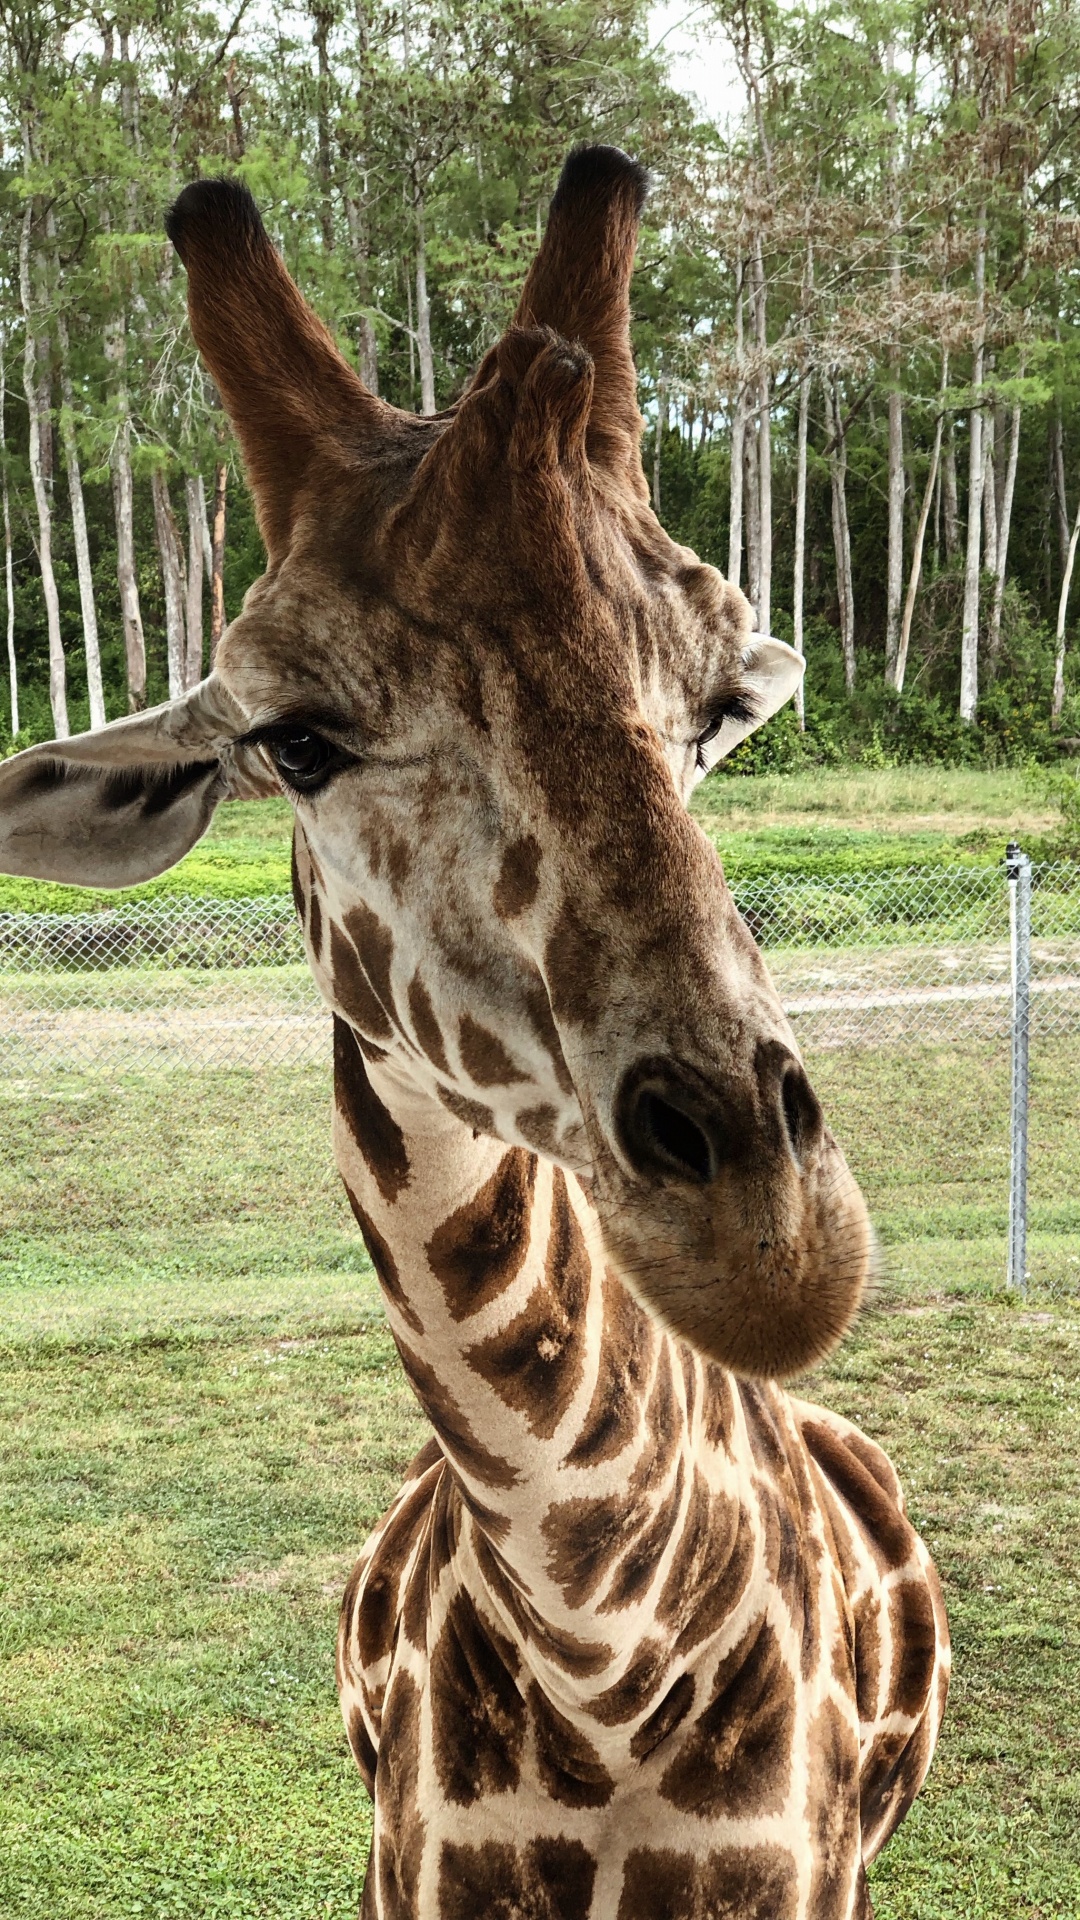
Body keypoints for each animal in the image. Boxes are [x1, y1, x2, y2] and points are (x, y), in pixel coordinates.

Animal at [0, 147, 948, 1917]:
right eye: (294, 742)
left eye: (714, 709)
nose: (776, 1247)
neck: (601, 1640)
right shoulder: (401, 1869)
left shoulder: (816, 1875)